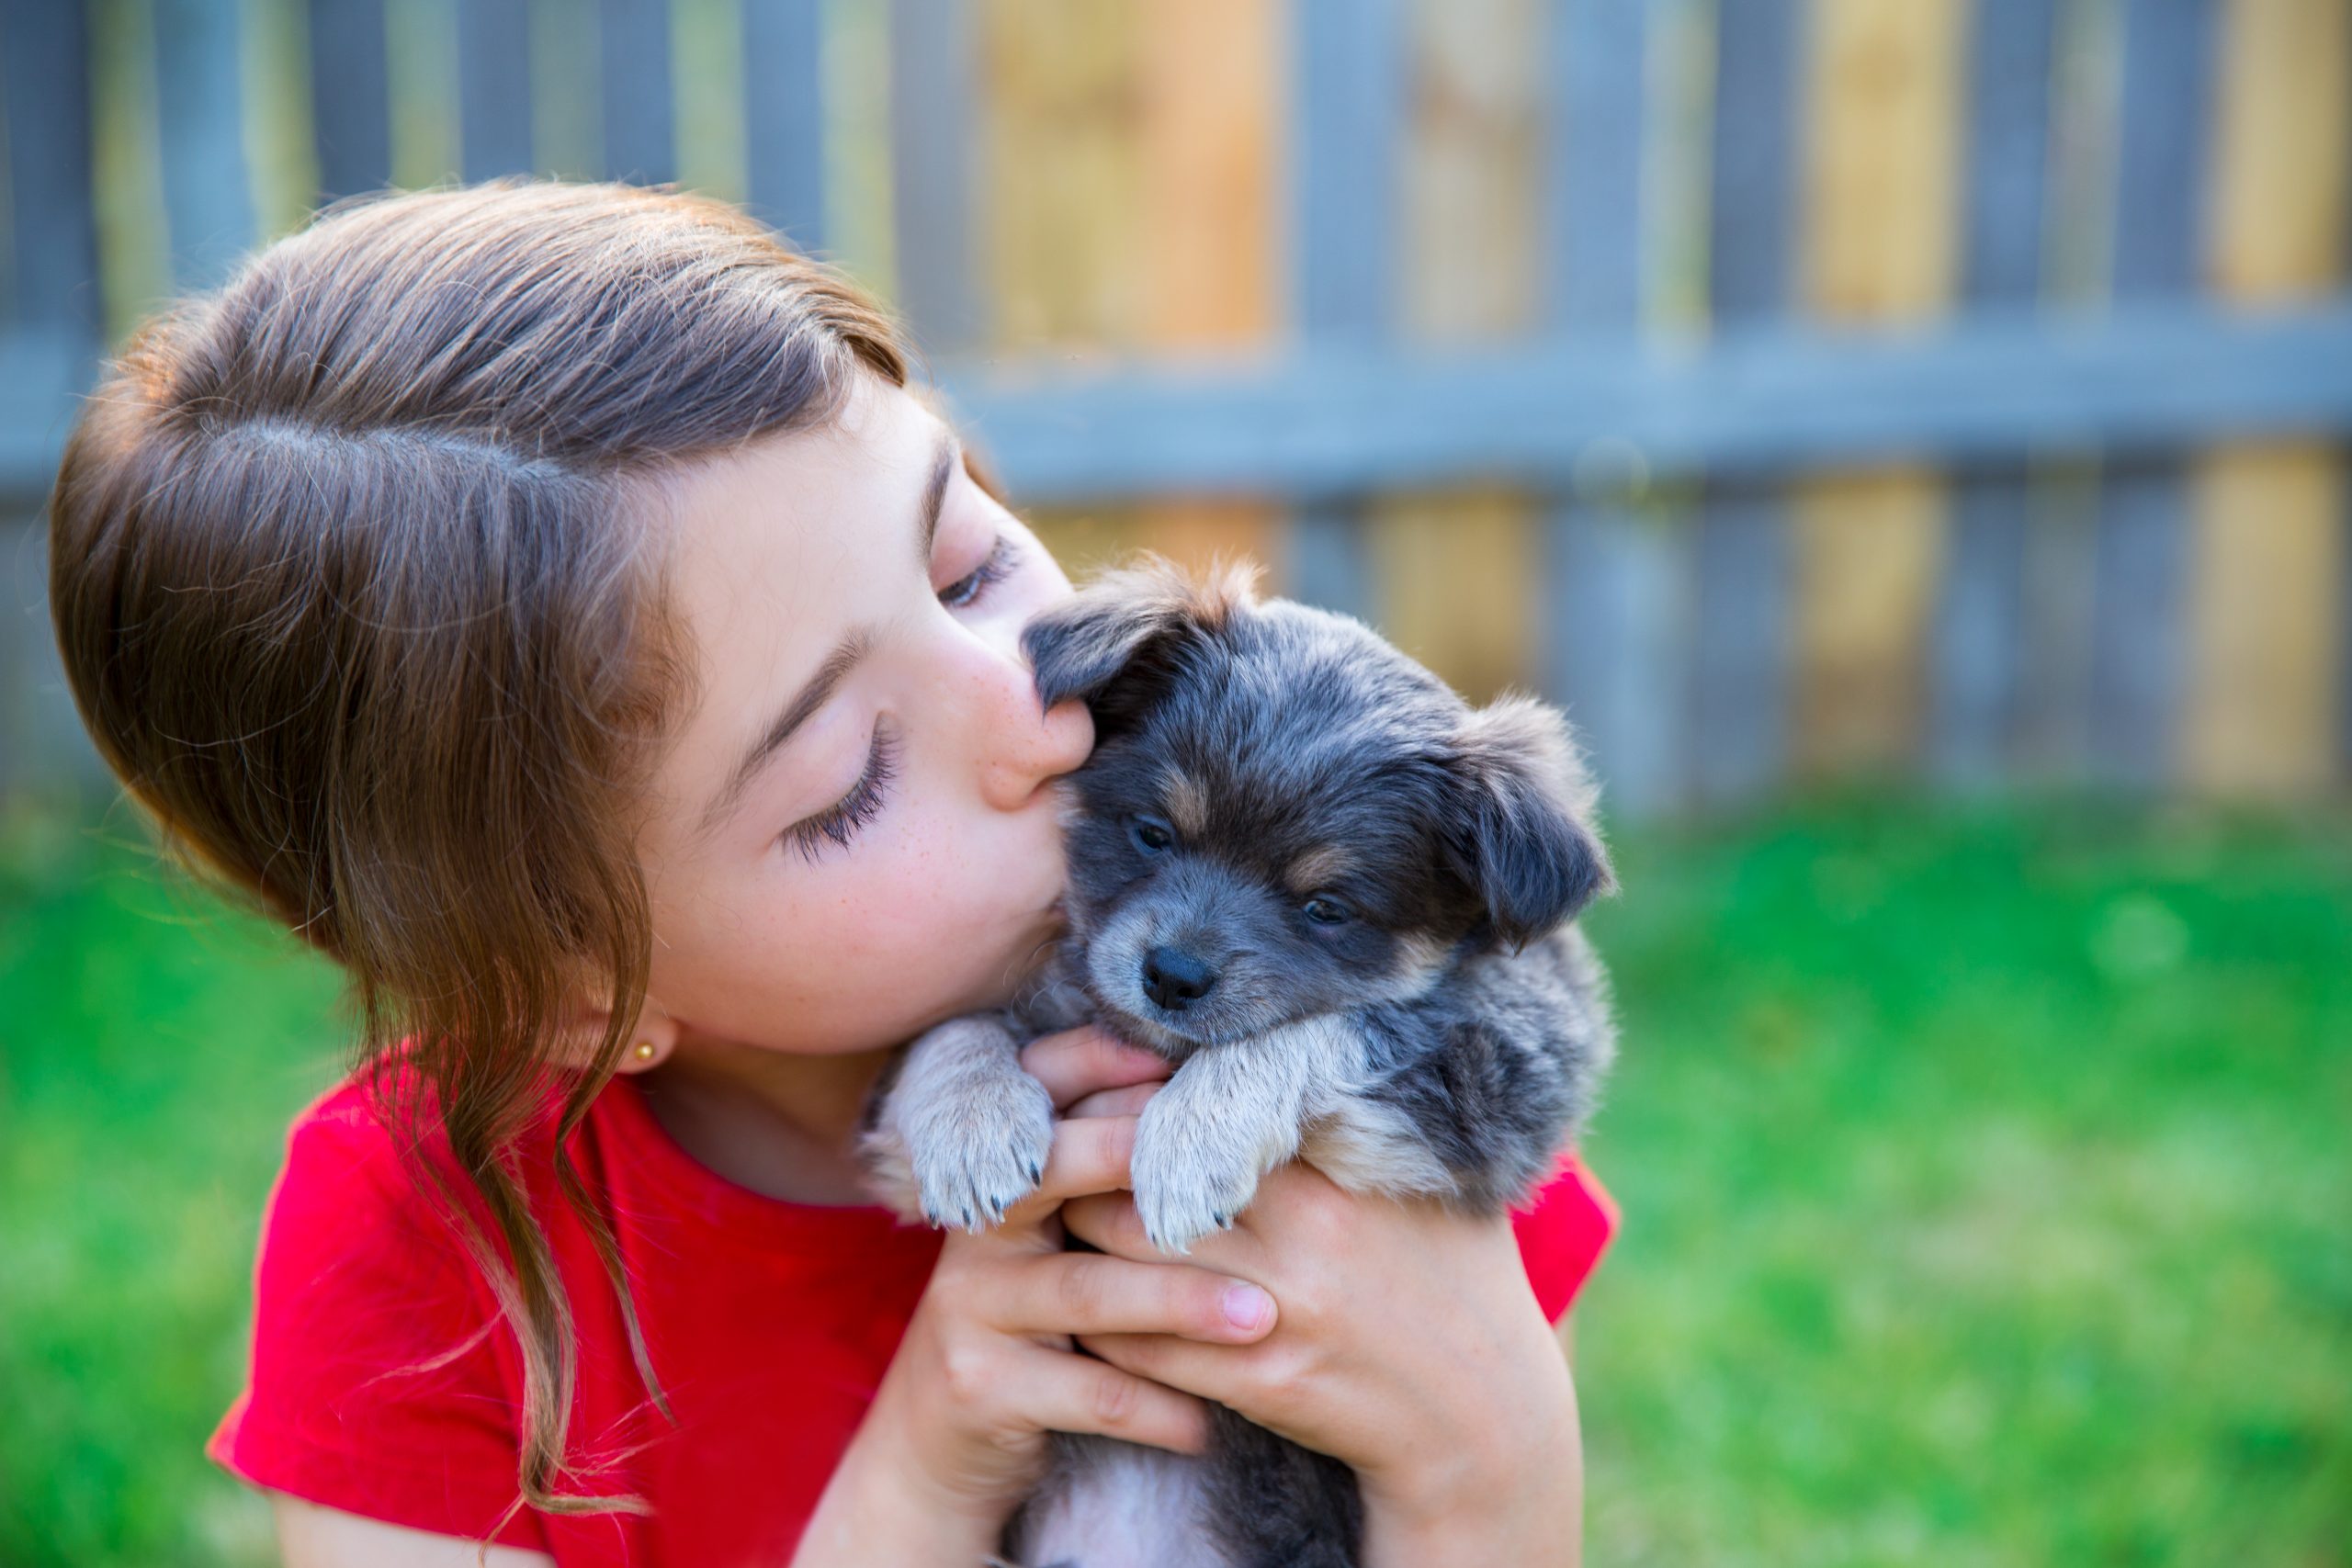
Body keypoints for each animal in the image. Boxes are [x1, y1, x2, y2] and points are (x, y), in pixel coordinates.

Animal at [860, 557, 1618, 1561]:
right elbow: (951, 1031)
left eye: (1326, 909)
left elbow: (1325, 1026)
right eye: (1152, 832)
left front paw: (1191, 1142)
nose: (1171, 975)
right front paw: (972, 1128)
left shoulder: (1511, 1064)